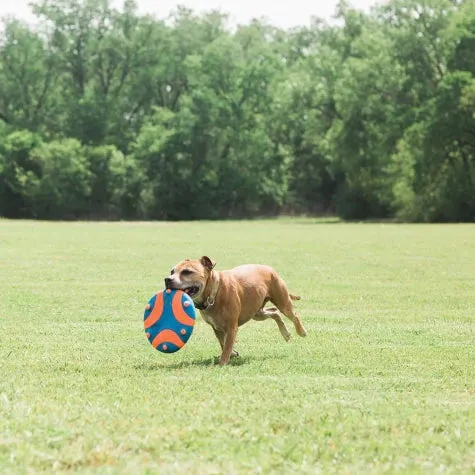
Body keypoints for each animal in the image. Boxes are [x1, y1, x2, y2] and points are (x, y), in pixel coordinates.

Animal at [165, 256, 308, 364]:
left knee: (293, 314)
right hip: (256, 312)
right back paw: (286, 334)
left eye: (187, 272)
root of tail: (270, 269)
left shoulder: (231, 327)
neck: (214, 293)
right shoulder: (216, 328)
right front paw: (233, 353)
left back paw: (301, 332)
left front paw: (222, 363)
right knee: (274, 312)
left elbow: (227, 346)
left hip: (282, 302)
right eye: (172, 271)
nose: (167, 279)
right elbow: (223, 343)